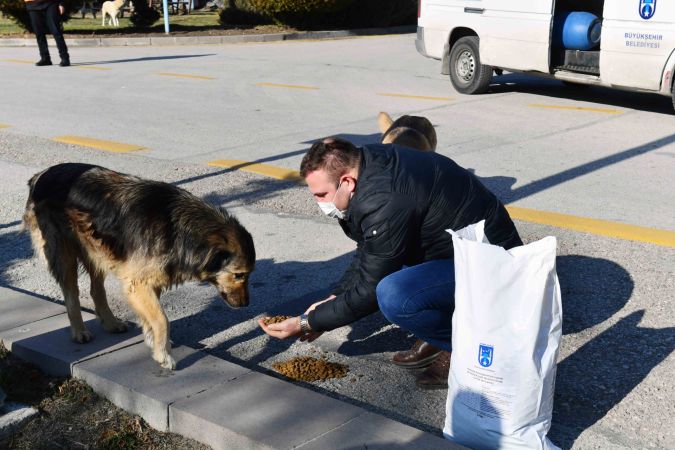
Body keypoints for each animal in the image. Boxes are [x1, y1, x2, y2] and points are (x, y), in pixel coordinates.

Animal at [23, 163, 255, 368]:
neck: (180, 230)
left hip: (98, 251)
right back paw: (79, 330)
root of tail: (41, 175)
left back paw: (111, 323)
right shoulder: (138, 284)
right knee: (71, 292)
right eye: (239, 275)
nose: (246, 305)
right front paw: (163, 355)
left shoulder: (151, 282)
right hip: (65, 253)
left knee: (96, 289)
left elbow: (152, 319)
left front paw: (155, 343)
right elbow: (162, 320)